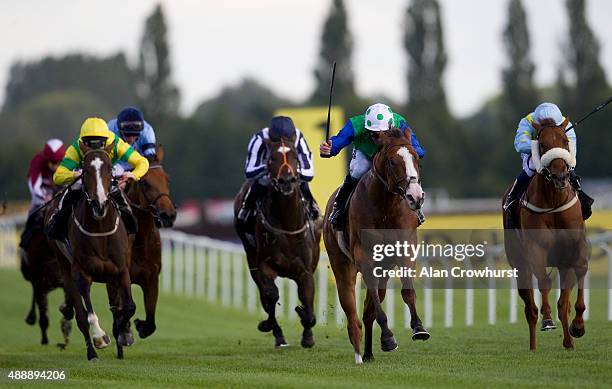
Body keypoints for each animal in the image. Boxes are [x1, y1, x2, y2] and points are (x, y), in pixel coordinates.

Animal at [48, 141, 136, 360]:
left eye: (109, 168)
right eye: (86, 170)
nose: (100, 203)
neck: (100, 229)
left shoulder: (121, 270)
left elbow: (128, 306)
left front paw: (124, 332)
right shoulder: (81, 271)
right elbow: (87, 313)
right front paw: (100, 338)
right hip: (65, 266)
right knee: (80, 315)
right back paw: (91, 352)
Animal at [122, 144, 175, 338]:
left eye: (167, 179)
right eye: (145, 182)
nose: (168, 215)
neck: (139, 239)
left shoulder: (152, 279)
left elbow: (151, 322)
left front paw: (140, 325)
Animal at [233, 137, 322, 348]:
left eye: (295, 156)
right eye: (271, 158)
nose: (286, 180)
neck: (287, 226)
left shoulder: (305, 270)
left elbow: (307, 301)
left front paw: (307, 334)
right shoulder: (265, 265)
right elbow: (271, 295)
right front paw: (270, 326)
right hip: (251, 257)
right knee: (264, 295)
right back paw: (277, 332)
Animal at [322, 128, 428, 364]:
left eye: (416, 158)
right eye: (391, 161)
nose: (415, 196)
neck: (385, 207)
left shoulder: (405, 252)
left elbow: (407, 292)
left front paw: (418, 328)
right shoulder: (364, 259)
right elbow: (374, 304)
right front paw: (388, 337)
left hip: (384, 269)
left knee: (368, 307)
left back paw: (369, 352)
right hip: (341, 264)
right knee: (352, 311)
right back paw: (359, 354)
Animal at [502, 117, 588, 348]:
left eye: (566, 141)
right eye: (542, 145)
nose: (560, 176)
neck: (554, 202)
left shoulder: (574, 249)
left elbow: (578, 276)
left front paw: (578, 326)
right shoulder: (536, 249)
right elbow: (544, 282)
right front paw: (547, 319)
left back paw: (568, 341)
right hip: (518, 261)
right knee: (530, 309)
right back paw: (533, 345)